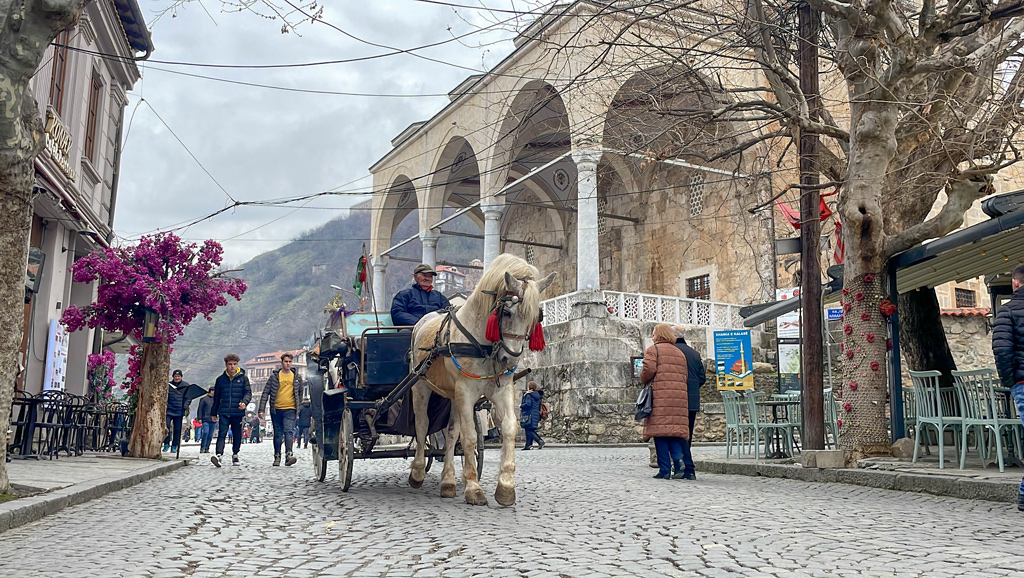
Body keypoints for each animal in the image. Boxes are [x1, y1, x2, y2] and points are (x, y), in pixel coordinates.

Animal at [407, 254, 557, 506]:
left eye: (537, 317)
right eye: (506, 313)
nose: (509, 359)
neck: (482, 345)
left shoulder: (501, 390)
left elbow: (509, 427)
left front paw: (505, 486)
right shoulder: (466, 392)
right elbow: (468, 437)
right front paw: (473, 487)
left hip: (452, 396)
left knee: (451, 432)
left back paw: (448, 482)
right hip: (421, 386)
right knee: (422, 425)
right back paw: (417, 472)